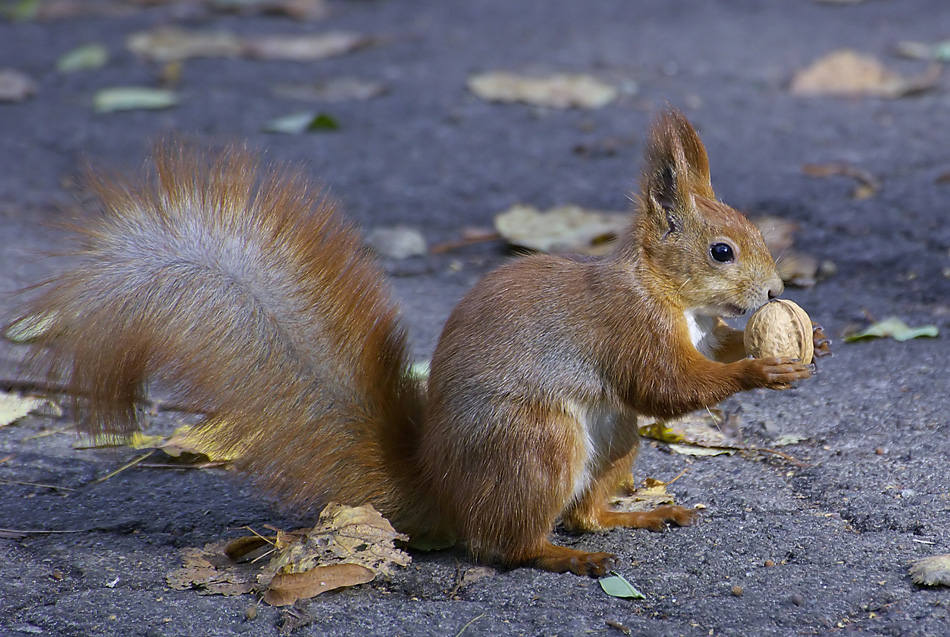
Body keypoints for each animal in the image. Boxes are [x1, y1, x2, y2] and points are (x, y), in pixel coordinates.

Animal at [3, 109, 816, 576]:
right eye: (721, 251)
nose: (776, 291)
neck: (662, 290)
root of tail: (443, 489)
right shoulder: (625, 327)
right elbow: (667, 384)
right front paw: (763, 367)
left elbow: (694, 367)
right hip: (536, 441)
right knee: (505, 545)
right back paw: (563, 557)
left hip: (615, 442)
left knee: (582, 509)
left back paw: (636, 514)